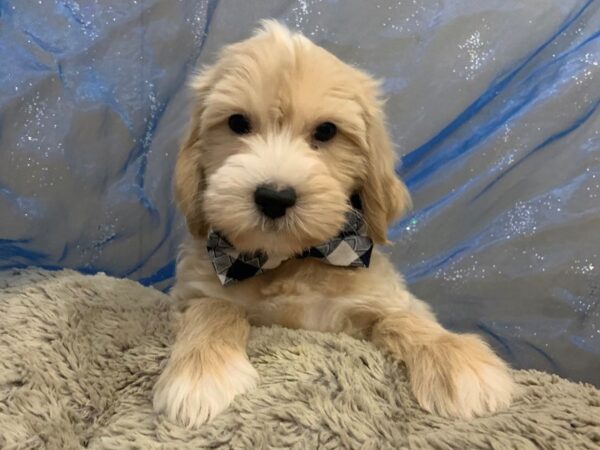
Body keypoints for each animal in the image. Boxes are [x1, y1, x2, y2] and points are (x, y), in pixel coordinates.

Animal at [153, 20, 514, 428]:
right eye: (237, 123)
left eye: (326, 132)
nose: (274, 197)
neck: (288, 260)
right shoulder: (191, 292)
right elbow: (214, 308)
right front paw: (201, 374)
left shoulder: (378, 297)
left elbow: (402, 318)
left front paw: (456, 357)